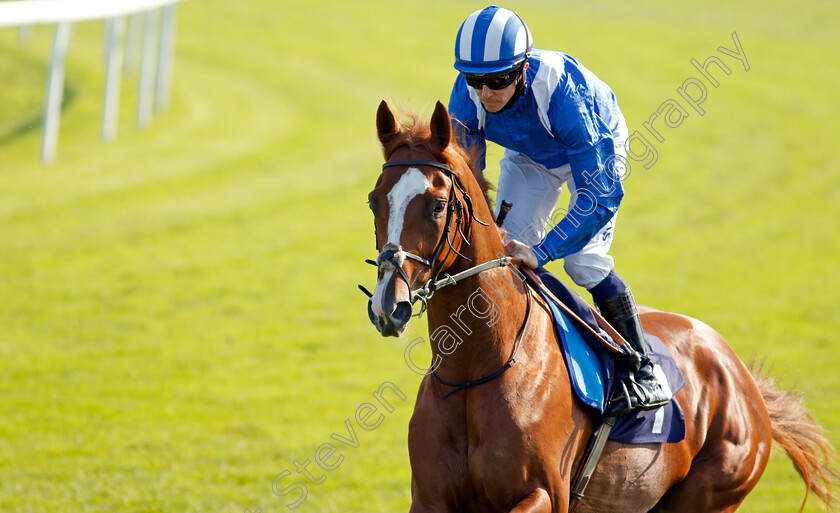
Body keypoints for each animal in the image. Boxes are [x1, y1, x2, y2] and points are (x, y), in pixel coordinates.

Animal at [364, 100, 836, 512]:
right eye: (374, 200)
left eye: (438, 205)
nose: (390, 305)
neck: (476, 368)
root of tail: (743, 379)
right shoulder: (430, 498)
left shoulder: (545, 494)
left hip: (712, 491)